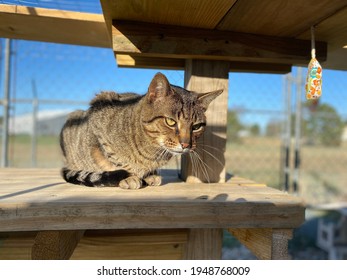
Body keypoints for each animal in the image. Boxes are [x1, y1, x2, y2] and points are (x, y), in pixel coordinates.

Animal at [59, 72, 223, 190]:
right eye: (170, 121)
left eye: (196, 127)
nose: (186, 145)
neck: (152, 149)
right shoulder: (99, 120)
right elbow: (115, 159)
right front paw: (130, 176)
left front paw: (150, 174)